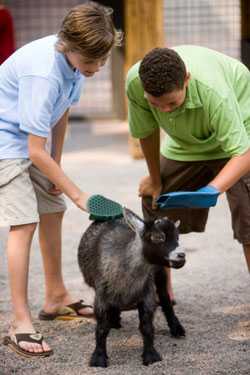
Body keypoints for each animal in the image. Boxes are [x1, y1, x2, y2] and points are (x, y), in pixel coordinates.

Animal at [78, 207, 186, 368]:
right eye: (157, 237)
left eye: (177, 238)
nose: (181, 255)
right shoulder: (101, 295)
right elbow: (102, 328)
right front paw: (98, 358)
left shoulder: (147, 293)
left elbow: (147, 326)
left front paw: (151, 355)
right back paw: (114, 320)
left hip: (159, 272)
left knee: (165, 297)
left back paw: (176, 328)